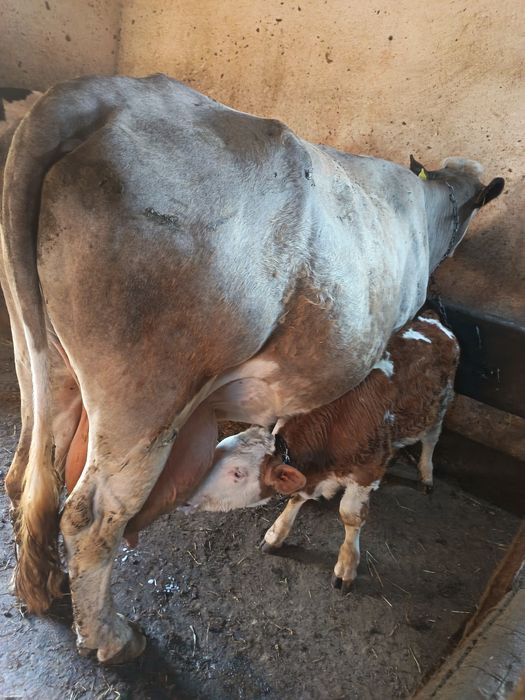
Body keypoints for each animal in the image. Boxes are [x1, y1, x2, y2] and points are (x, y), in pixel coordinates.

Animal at [188, 311, 460, 593]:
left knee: (431, 439)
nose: (186, 492)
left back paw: (426, 475)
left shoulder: (366, 472)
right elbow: (296, 496)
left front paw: (346, 566)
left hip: (439, 405)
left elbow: (350, 515)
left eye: (237, 473)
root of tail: (431, 320)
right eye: (217, 449)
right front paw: (276, 534)